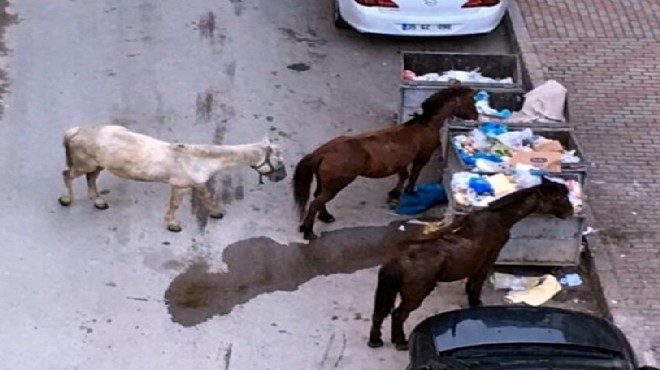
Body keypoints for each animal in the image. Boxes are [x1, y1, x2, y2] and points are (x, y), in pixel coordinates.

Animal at [60, 125, 288, 233]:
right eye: (278, 161)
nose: (282, 177)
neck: (199, 159)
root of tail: (75, 131)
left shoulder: (197, 183)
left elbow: (207, 198)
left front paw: (215, 213)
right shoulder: (180, 186)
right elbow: (175, 205)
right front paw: (173, 225)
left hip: (97, 165)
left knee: (91, 179)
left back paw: (98, 201)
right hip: (84, 165)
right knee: (68, 175)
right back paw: (66, 199)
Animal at [294, 81, 480, 240]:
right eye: (471, 100)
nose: (476, 117)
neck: (425, 124)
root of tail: (323, 152)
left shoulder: (400, 163)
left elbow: (403, 176)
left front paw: (394, 194)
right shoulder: (422, 157)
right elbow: (413, 176)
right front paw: (409, 192)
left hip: (324, 183)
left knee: (317, 199)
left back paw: (325, 217)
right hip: (335, 185)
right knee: (315, 202)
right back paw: (309, 232)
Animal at [368, 178, 576, 352]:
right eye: (558, 197)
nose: (570, 212)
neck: (500, 218)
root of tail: (398, 260)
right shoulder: (489, 257)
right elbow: (477, 281)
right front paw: (476, 302)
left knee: (379, 314)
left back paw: (375, 340)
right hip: (416, 294)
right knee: (398, 314)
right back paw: (400, 342)